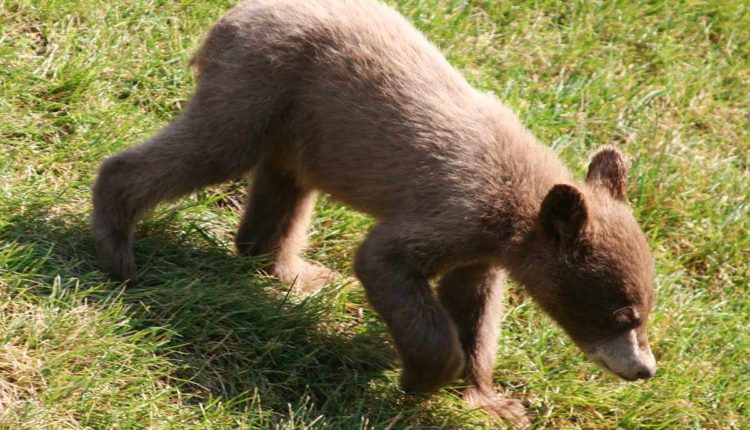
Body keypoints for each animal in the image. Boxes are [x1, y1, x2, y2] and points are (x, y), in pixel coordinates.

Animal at [92, 0, 657, 426]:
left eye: (646, 309)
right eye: (621, 314)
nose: (645, 369)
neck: (516, 203)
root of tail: (231, 16)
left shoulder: (483, 250)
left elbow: (475, 307)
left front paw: (492, 400)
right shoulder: (457, 208)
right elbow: (385, 259)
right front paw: (420, 376)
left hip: (300, 125)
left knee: (283, 188)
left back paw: (298, 273)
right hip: (262, 83)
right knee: (212, 148)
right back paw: (118, 249)